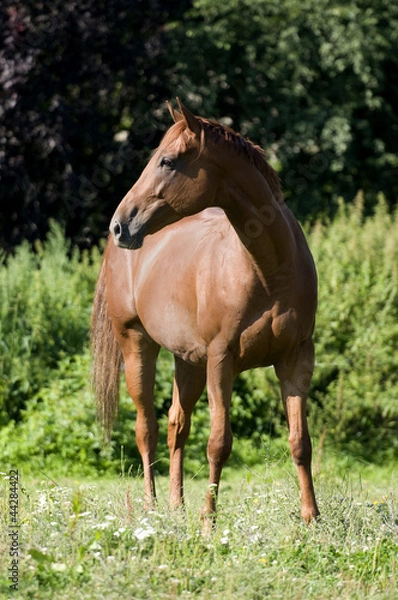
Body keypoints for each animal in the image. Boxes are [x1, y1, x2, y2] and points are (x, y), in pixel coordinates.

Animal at [91, 98, 320, 524]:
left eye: (167, 161)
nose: (119, 225)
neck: (269, 271)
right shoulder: (221, 360)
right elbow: (219, 443)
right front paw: (209, 522)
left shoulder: (296, 358)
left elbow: (300, 441)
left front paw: (312, 518)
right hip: (137, 346)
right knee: (146, 428)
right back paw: (151, 507)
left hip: (188, 362)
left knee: (175, 425)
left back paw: (176, 505)